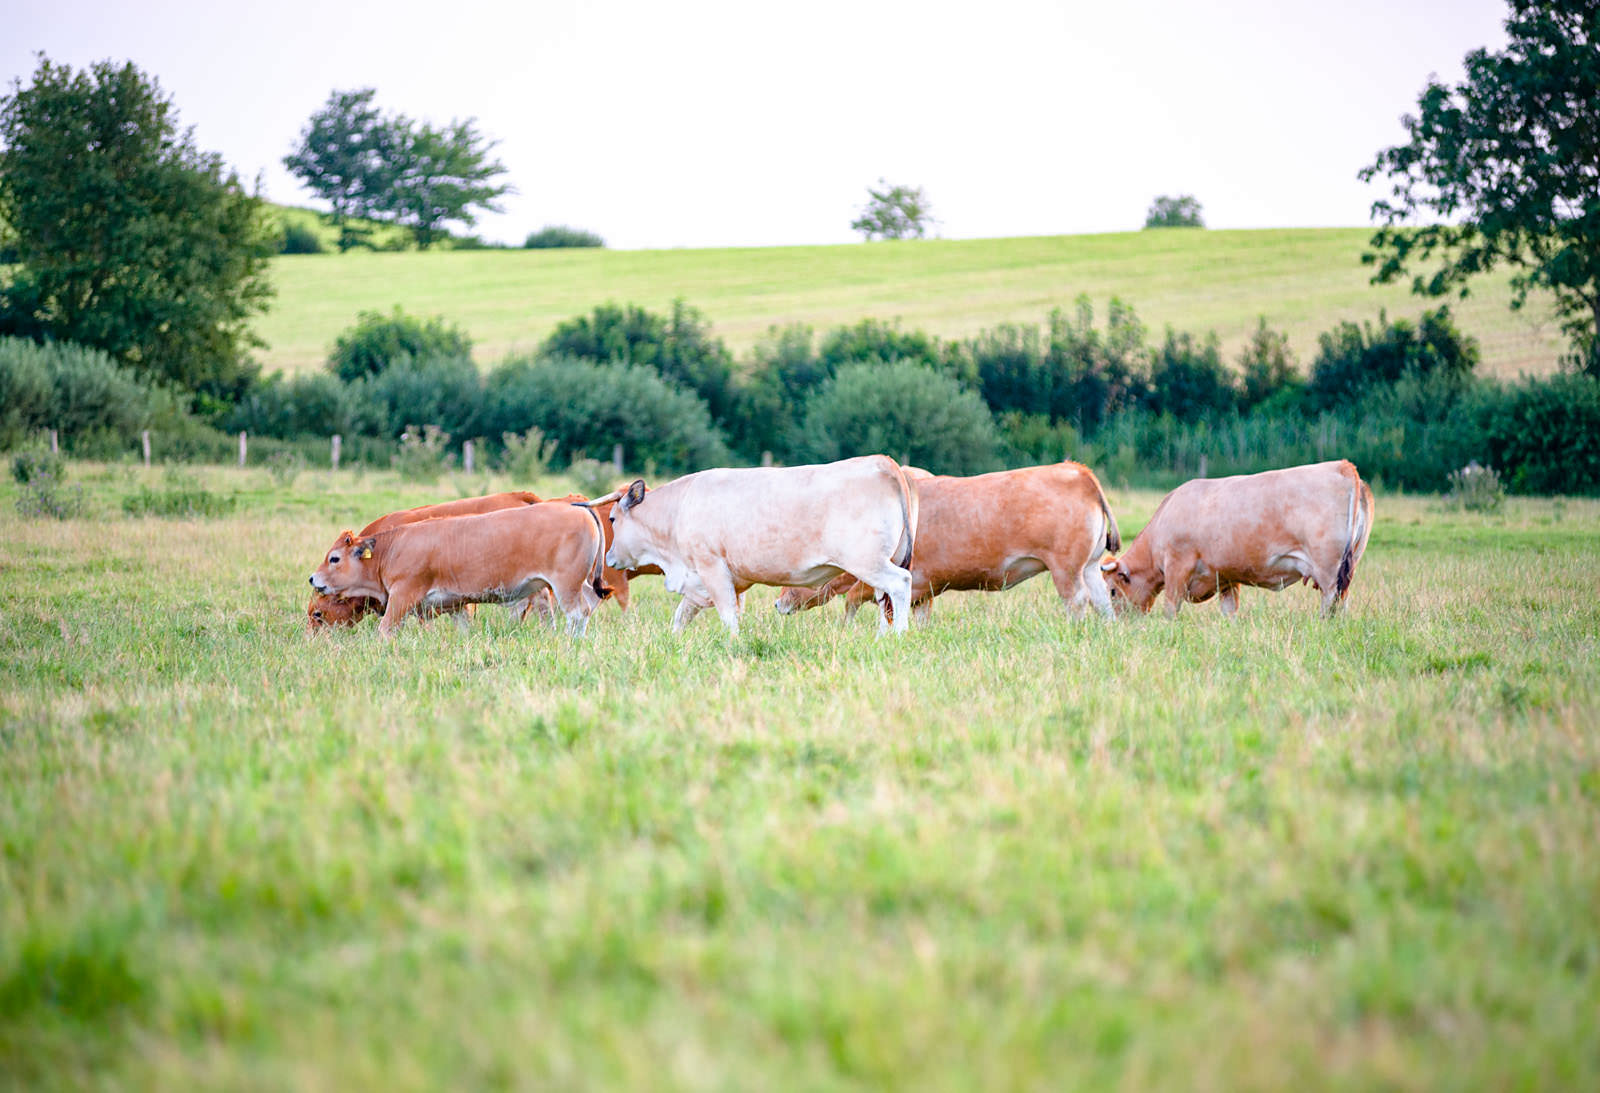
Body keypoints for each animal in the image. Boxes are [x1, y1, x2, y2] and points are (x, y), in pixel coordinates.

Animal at [307, 499, 611, 636]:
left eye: (334, 558)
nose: (312, 578)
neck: (393, 547)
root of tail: (574, 505)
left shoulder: (402, 597)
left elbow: (385, 628)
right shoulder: (456, 605)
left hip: (565, 586)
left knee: (577, 613)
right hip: (575, 585)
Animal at [592, 454, 921, 640]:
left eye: (612, 518)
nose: (609, 557)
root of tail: (882, 461)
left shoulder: (712, 570)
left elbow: (728, 616)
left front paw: (733, 644)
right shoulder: (701, 582)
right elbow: (681, 616)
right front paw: (673, 643)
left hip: (869, 562)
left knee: (900, 585)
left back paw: (900, 635)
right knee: (884, 599)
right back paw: (882, 637)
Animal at [777, 460, 1126, 624]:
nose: (778, 603)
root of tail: (1076, 470)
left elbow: (855, 602)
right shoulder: (923, 590)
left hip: (1066, 568)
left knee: (1077, 601)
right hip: (1090, 567)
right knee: (1101, 600)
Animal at [1100, 457, 1376, 620]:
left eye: (1112, 591)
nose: (1117, 623)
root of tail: (1344, 466)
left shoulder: (1177, 567)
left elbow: (1171, 607)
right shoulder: (1227, 577)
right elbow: (1229, 612)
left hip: (1329, 570)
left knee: (1330, 602)